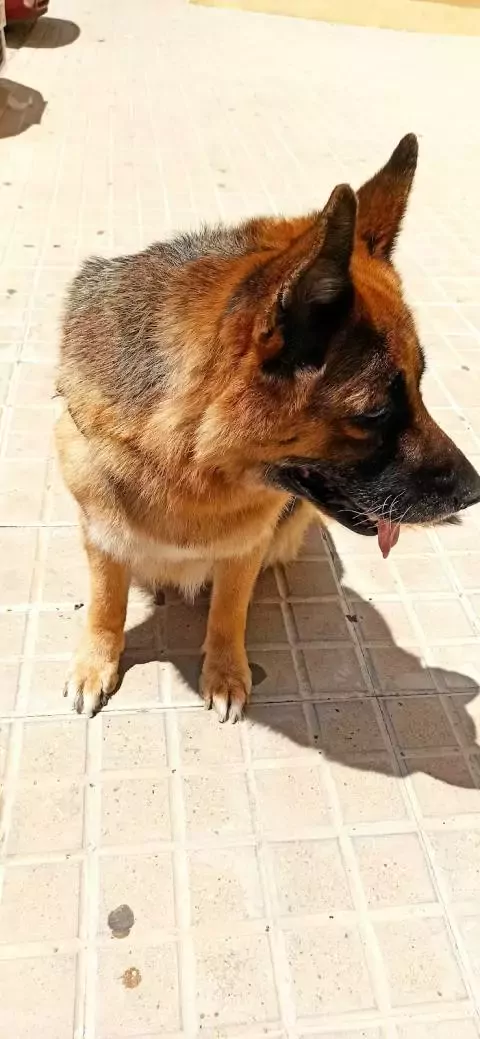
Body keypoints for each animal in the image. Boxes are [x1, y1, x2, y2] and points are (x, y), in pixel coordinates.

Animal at [55, 134, 480, 723]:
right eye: (374, 414)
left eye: (420, 386)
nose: (476, 492)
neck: (187, 464)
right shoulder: (101, 535)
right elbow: (104, 604)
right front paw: (97, 662)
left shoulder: (244, 549)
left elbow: (228, 612)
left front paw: (225, 673)